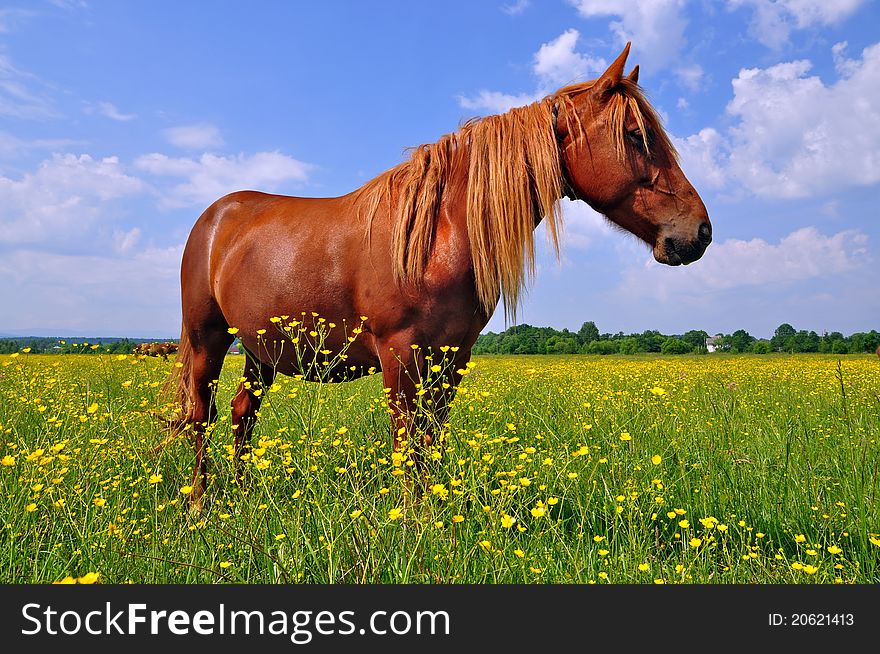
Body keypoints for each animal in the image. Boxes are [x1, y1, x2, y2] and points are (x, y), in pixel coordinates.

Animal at [167, 43, 716, 510]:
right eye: (636, 136)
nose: (700, 232)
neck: (438, 235)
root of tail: (214, 217)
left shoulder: (452, 358)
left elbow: (432, 440)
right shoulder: (400, 355)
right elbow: (408, 440)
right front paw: (412, 521)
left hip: (260, 349)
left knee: (242, 412)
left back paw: (243, 496)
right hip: (207, 339)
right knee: (201, 416)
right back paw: (199, 504)